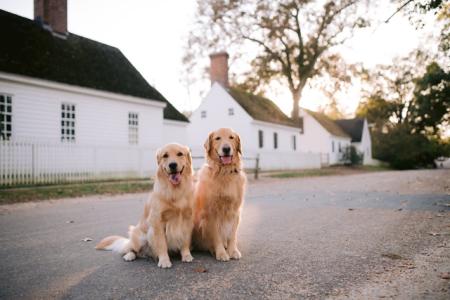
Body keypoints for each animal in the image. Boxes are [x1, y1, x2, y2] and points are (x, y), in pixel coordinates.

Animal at [191, 126, 246, 260]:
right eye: (217, 138)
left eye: (231, 137)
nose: (226, 148)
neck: (224, 172)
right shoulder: (210, 213)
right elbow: (216, 236)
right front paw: (221, 253)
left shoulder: (235, 212)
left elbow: (232, 235)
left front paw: (233, 251)